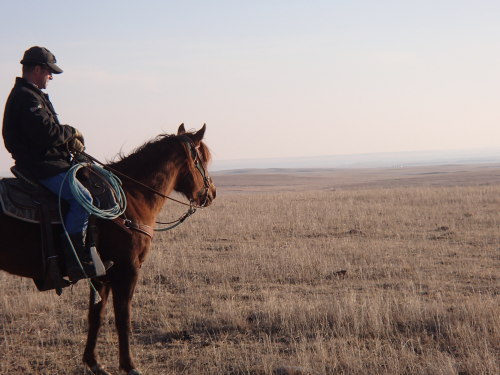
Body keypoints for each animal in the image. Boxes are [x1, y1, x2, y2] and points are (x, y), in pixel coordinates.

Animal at [0, 125, 216, 374]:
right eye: (203, 160)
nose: (212, 193)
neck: (133, 197)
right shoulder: (127, 268)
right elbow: (123, 316)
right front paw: (129, 365)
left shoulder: (102, 273)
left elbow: (97, 315)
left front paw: (93, 362)